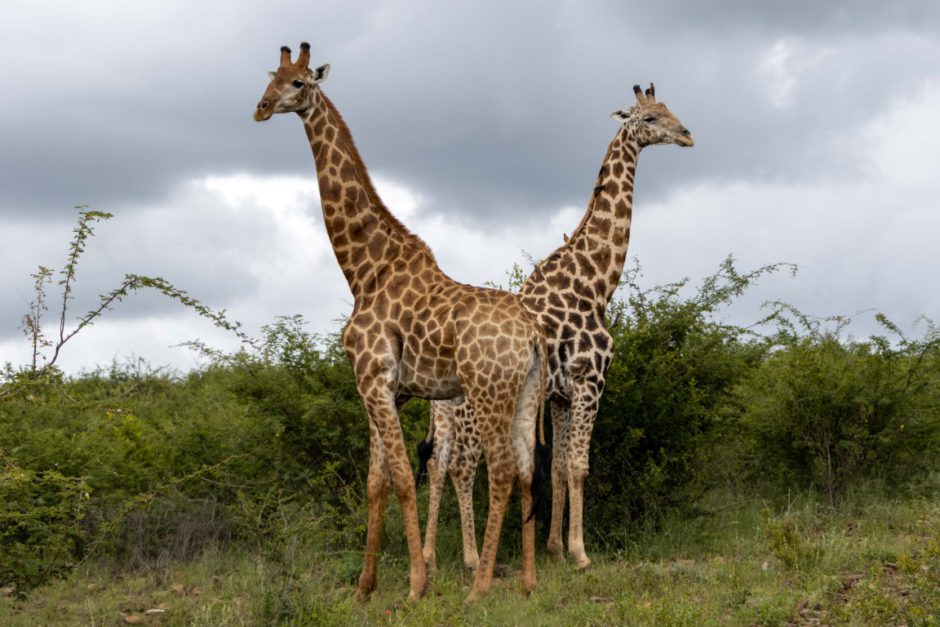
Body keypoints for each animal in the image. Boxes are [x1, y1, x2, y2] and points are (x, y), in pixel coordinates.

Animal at [255, 44, 552, 604]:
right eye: (270, 77)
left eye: (300, 82)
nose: (260, 108)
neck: (363, 269)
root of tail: (533, 334)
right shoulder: (384, 390)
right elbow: (376, 482)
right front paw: (364, 587)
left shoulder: (374, 379)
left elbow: (399, 478)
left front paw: (416, 584)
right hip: (525, 392)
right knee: (526, 471)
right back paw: (526, 583)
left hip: (487, 391)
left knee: (502, 471)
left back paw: (479, 587)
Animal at [418, 83, 692, 576]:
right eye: (649, 119)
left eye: (670, 110)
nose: (687, 135)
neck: (595, 284)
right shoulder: (591, 381)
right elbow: (580, 466)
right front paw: (581, 554)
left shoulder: (563, 394)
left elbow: (562, 467)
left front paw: (554, 549)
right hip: (471, 409)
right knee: (464, 467)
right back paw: (473, 559)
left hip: (447, 410)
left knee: (440, 465)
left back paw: (434, 558)